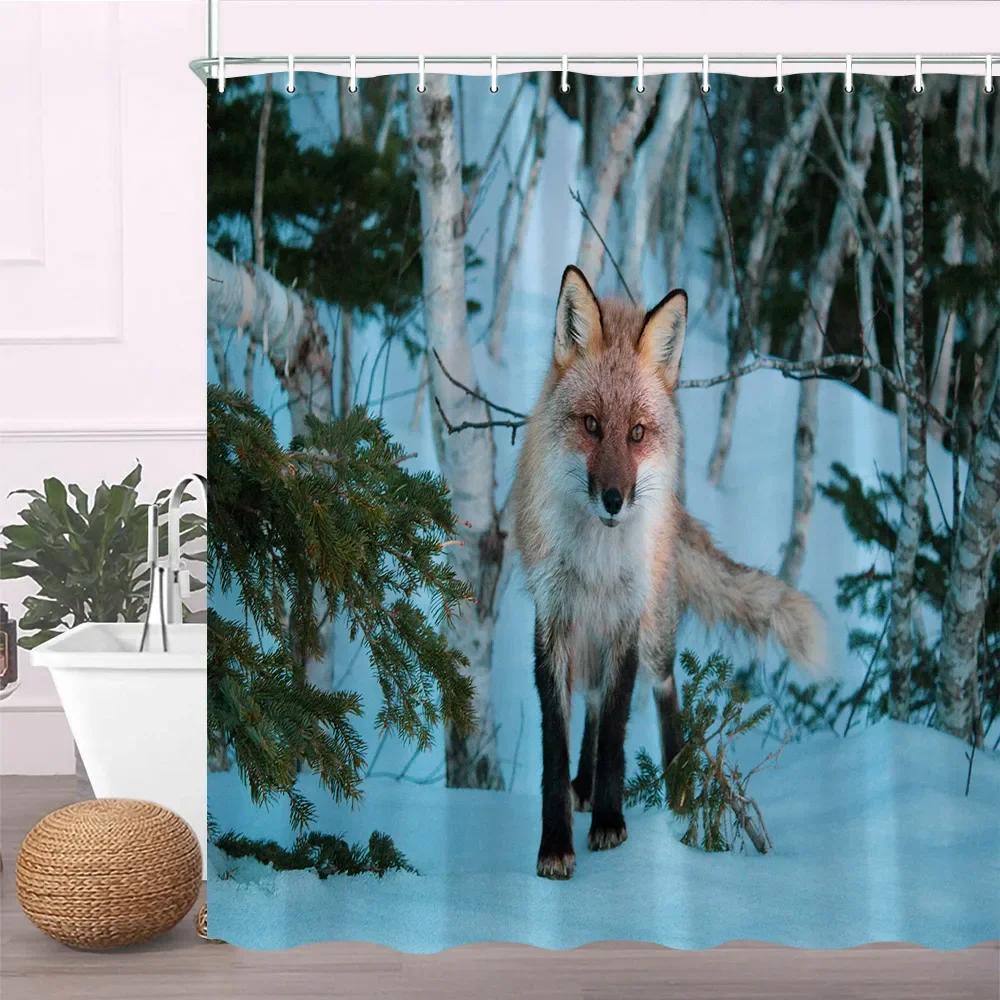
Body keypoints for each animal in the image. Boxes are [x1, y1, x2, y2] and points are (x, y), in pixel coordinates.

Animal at [511, 265, 826, 880]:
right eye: (591, 425)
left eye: (636, 432)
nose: (614, 500)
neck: (597, 558)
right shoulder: (554, 620)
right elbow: (557, 743)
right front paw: (556, 841)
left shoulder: (626, 620)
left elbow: (615, 729)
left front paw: (610, 822)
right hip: (591, 633)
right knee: (590, 701)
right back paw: (586, 785)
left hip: (653, 625)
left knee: (661, 686)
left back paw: (678, 785)